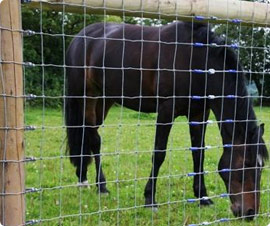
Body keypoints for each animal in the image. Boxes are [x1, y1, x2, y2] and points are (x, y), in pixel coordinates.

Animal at [65, 20, 268, 219]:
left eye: (260, 167)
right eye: (245, 165)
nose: (250, 213)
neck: (195, 59)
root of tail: (79, 37)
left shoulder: (199, 114)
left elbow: (198, 154)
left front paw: (203, 197)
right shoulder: (166, 111)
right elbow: (159, 153)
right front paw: (150, 199)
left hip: (104, 99)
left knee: (89, 136)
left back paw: (83, 176)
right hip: (87, 96)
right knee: (93, 138)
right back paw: (100, 186)